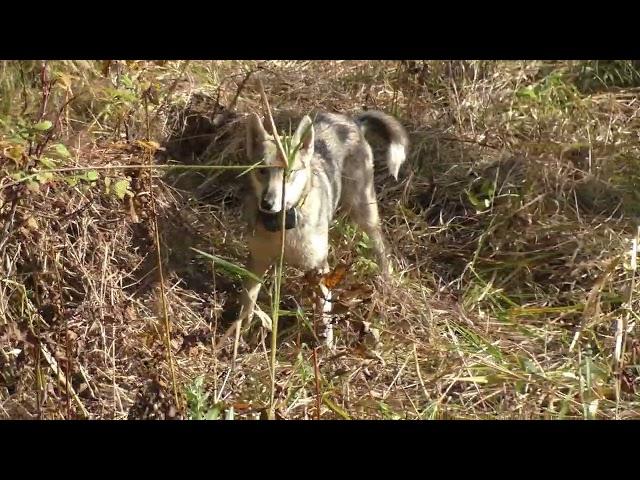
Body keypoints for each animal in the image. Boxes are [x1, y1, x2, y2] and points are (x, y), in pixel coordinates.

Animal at [236, 110, 410, 346]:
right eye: (262, 170)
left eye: (290, 172)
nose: (268, 203)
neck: (284, 226)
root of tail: (352, 120)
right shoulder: (257, 261)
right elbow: (248, 303)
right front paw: (238, 336)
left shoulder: (319, 269)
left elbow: (324, 316)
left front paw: (326, 347)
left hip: (364, 213)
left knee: (382, 249)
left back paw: (387, 282)